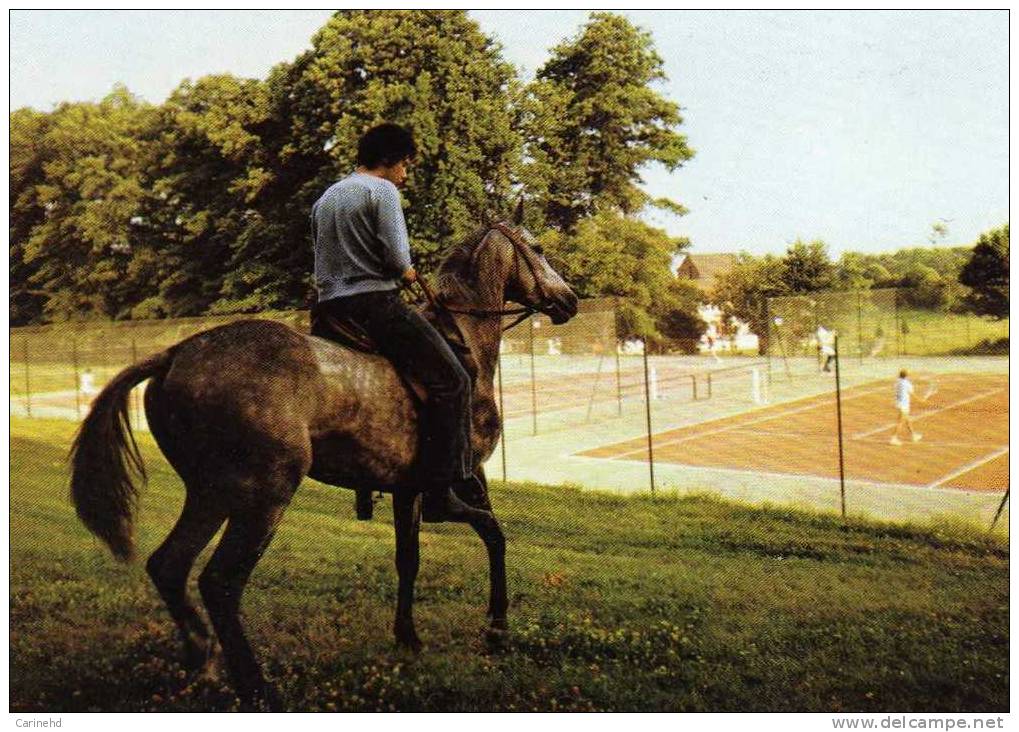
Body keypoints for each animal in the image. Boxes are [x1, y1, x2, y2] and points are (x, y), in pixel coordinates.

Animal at [69, 205, 582, 709]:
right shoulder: (455, 487)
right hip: (264, 495)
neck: (465, 342)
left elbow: (409, 559)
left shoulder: (407, 491)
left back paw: (203, 664)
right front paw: (496, 629)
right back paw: (256, 688)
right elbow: (494, 534)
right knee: (220, 581)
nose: (570, 299)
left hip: (210, 494)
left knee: (169, 566)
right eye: (538, 248)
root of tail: (176, 354)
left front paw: (408, 637)